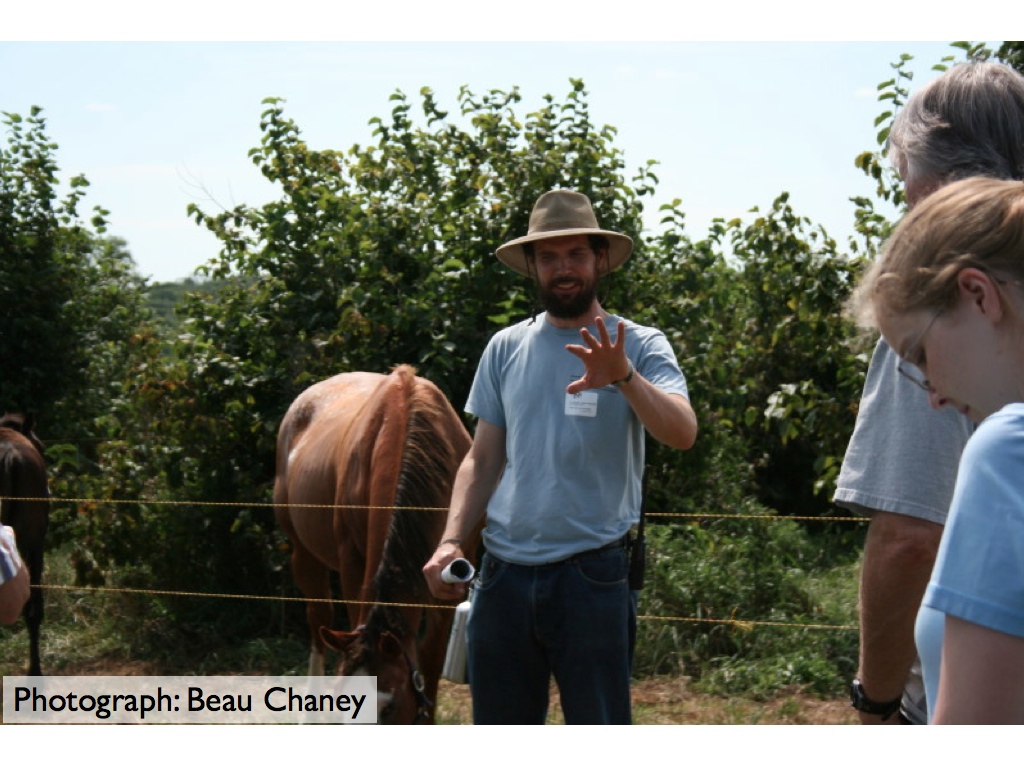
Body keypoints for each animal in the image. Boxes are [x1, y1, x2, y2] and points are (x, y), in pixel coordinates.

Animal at [276, 368, 475, 729]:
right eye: (343, 700)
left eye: (390, 706)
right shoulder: (353, 562)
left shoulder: (453, 577)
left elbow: (431, 655)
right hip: (303, 554)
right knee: (318, 618)